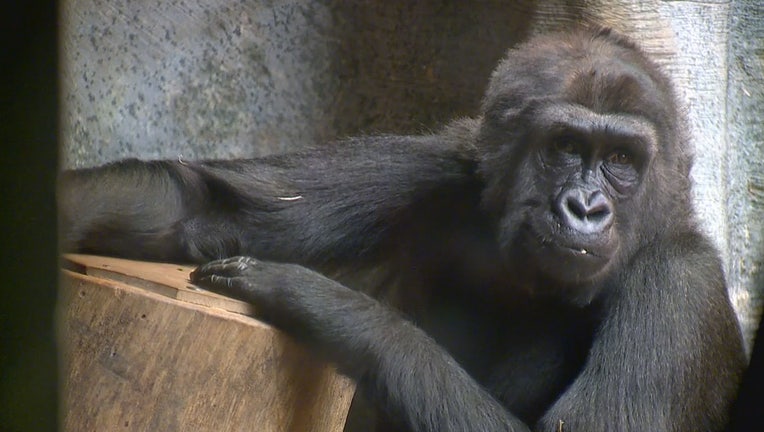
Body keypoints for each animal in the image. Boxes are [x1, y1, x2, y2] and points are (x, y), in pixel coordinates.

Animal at [61, 27, 748, 432]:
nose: (585, 207)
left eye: (622, 160)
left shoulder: (679, 286)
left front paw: (332, 306)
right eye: (565, 146)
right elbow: (208, 210)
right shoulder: (443, 162)